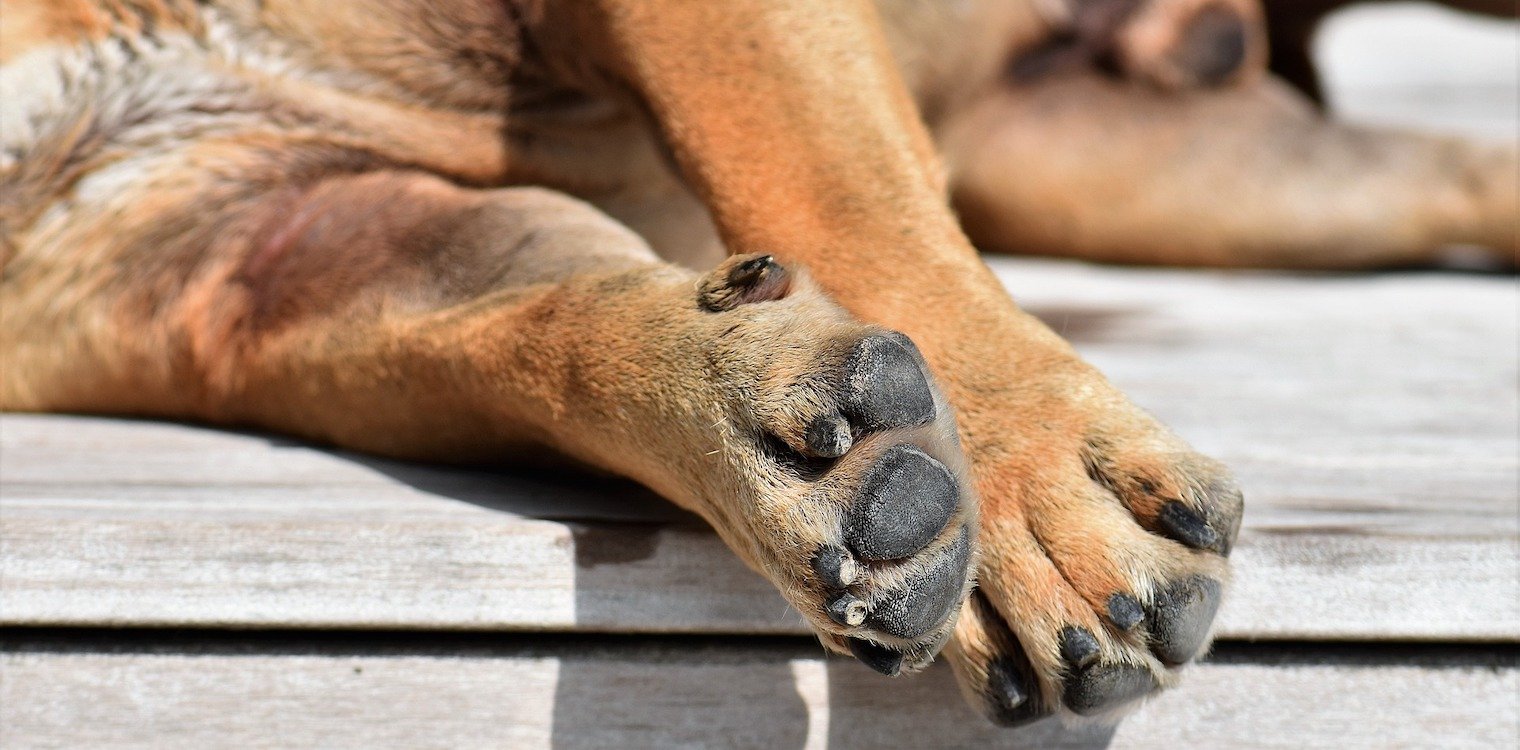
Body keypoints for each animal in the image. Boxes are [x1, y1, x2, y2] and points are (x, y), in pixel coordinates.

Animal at [5, 0, 1513, 724]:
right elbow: (536, 328)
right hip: (1162, 167)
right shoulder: (266, 246)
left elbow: (836, 184)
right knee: (1459, 171)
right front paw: (765, 435)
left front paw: (1023, 495)